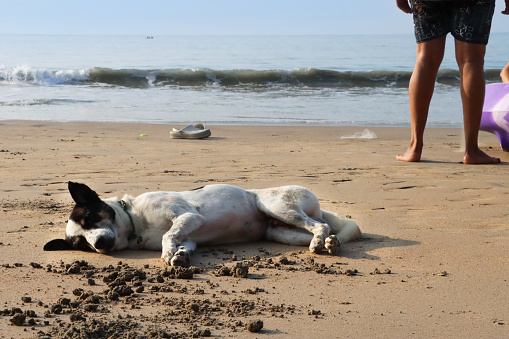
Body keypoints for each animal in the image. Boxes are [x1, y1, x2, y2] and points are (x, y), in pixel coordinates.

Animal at [44, 182, 362, 266]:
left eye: (90, 218)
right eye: (81, 244)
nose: (98, 244)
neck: (135, 221)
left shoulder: (188, 217)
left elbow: (167, 236)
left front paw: (167, 253)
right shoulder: (190, 235)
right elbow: (182, 244)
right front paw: (180, 257)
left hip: (276, 205)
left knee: (318, 225)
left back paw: (322, 241)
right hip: (279, 232)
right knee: (322, 228)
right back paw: (330, 244)